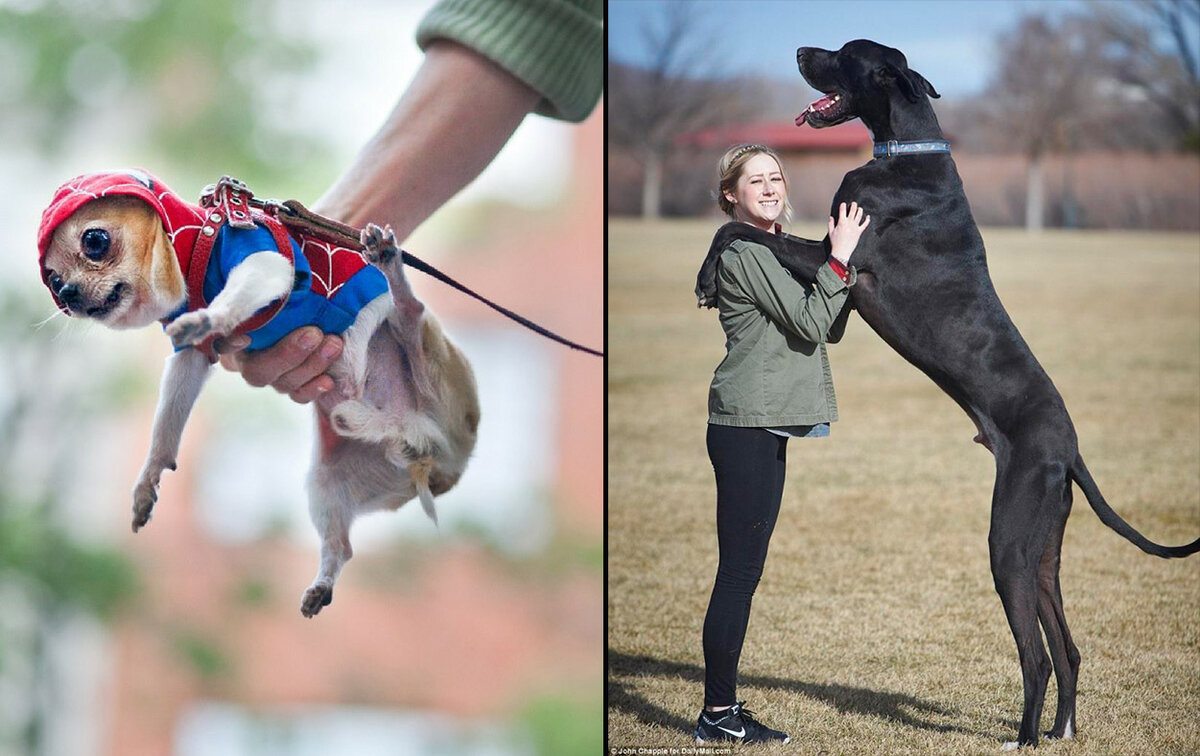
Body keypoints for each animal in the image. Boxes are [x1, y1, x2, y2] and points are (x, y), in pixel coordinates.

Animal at [38, 170, 477, 614]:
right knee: (341, 546)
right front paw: (148, 481)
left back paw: (389, 261)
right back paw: (321, 587)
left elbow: (233, 297)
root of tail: (418, 439)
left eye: (94, 241)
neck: (194, 244)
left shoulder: (265, 264)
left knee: (410, 310)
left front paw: (209, 316)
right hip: (327, 483)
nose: (69, 294)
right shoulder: (191, 360)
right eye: (54, 281)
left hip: (424, 350)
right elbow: (166, 427)